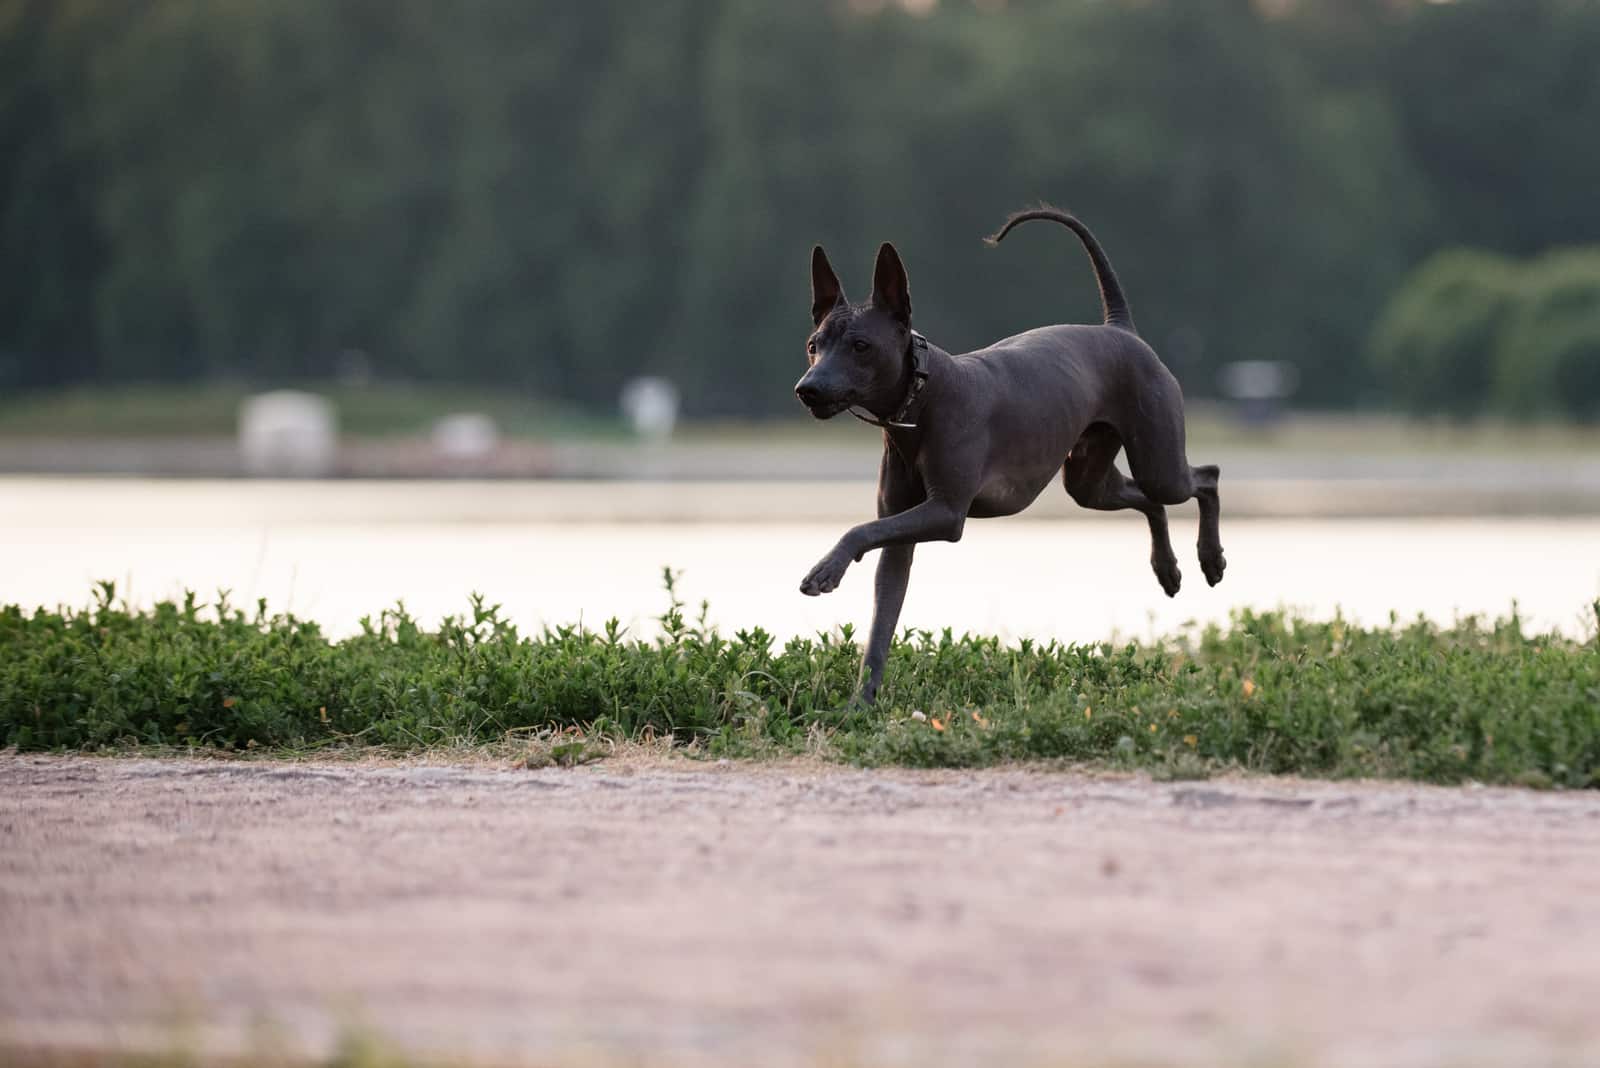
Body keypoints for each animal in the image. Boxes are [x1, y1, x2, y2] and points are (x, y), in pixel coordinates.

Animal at [790, 207, 1222, 703]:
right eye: (814, 345)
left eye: (861, 346)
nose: (808, 389)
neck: (921, 401)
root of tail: (1120, 329)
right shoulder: (898, 537)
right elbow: (881, 622)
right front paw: (861, 705)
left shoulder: (946, 512)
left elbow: (859, 530)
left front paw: (826, 568)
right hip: (1089, 481)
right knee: (1151, 502)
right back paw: (1167, 568)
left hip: (1159, 461)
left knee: (1206, 477)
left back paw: (1211, 559)